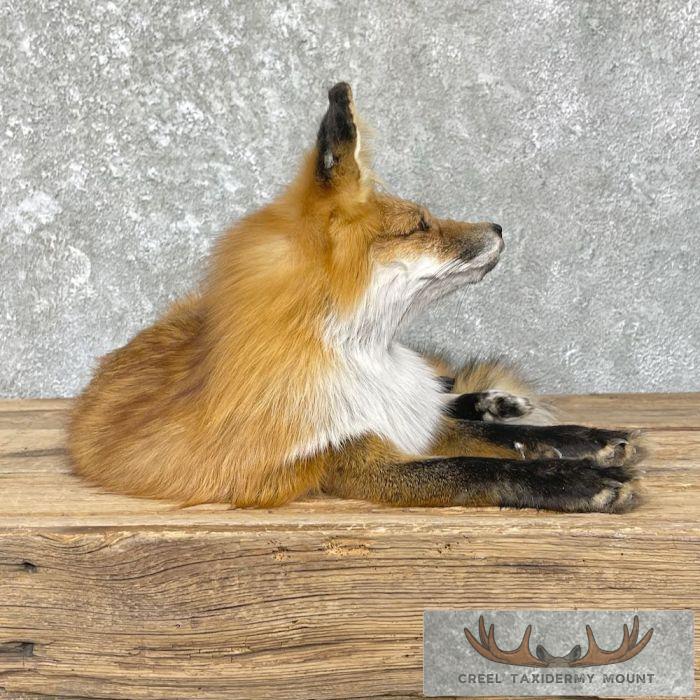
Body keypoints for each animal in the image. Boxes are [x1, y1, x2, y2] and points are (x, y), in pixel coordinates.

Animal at [69, 82, 644, 513]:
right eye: (419, 225)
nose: (499, 228)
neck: (363, 363)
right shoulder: (349, 458)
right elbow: (475, 467)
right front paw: (574, 481)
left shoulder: (404, 421)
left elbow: (500, 440)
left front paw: (589, 440)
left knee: (445, 392)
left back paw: (495, 401)